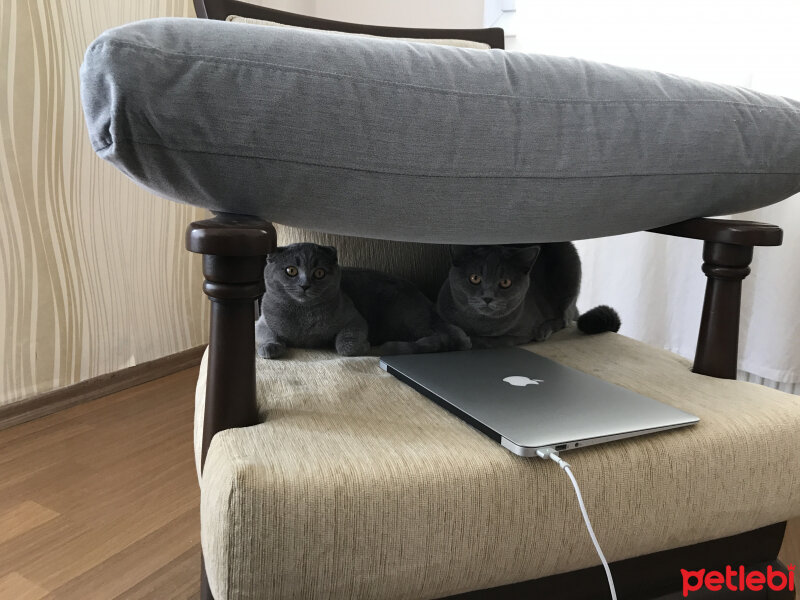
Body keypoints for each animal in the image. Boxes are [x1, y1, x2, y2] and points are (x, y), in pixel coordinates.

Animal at [255, 243, 468, 358]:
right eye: (290, 270)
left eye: (319, 273)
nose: (305, 285)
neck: (304, 315)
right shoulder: (262, 320)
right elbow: (266, 333)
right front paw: (269, 347)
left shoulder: (354, 319)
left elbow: (345, 346)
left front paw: (364, 346)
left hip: (406, 318)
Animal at [438, 243, 620, 350]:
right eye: (475, 278)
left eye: (505, 282)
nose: (488, 297)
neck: (479, 324)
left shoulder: (520, 334)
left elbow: (490, 341)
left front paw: (467, 340)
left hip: (570, 280)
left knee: (564, 319)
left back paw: (543, 331)